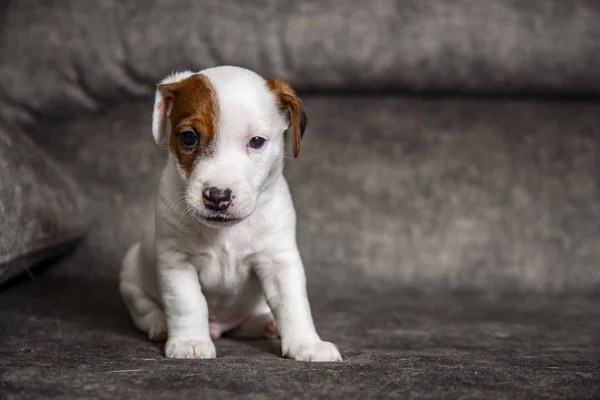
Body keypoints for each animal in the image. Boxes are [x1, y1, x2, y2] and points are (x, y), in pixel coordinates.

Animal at [118, 66, 342, 362]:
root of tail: (220, 326)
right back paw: (160, 324)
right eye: (189, 137)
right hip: (131, 271)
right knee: (143, 308)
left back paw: (267, 323)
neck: (226, 233)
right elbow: (187, 303)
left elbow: (293, 304)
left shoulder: (279, 261)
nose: (217, 196)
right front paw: (190, 341)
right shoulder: (177, 262)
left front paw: (307, 344)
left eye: (256, 142)